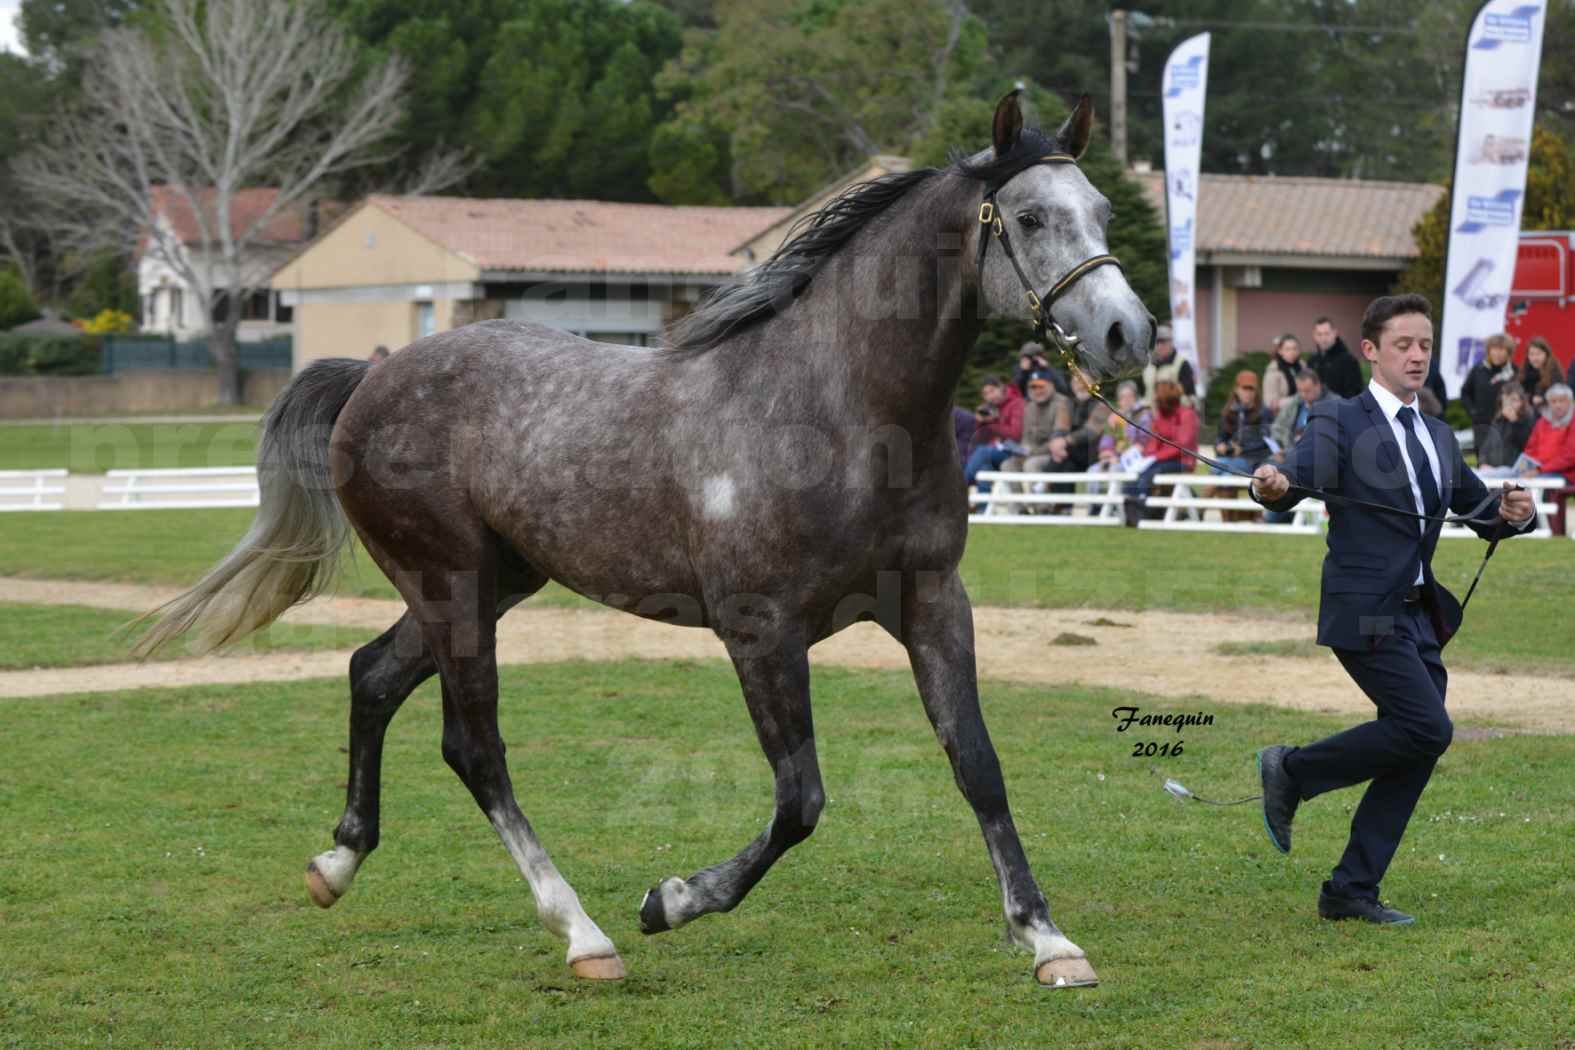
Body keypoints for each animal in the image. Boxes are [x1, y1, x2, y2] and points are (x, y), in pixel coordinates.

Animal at [141, 94, 1159, 988]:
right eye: (1028, 215)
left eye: (1104, 210)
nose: (1129, 333)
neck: (836, 407)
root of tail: (371, 379)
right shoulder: (759, 629)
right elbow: (800, 800)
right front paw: (669, 900)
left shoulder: (932, 604)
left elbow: (977, 767)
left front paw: (1048, 942)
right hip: (451, 584)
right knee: (475, 748)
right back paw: (583, 935)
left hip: (490, 582)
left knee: (372, 676)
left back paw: (338, 865)